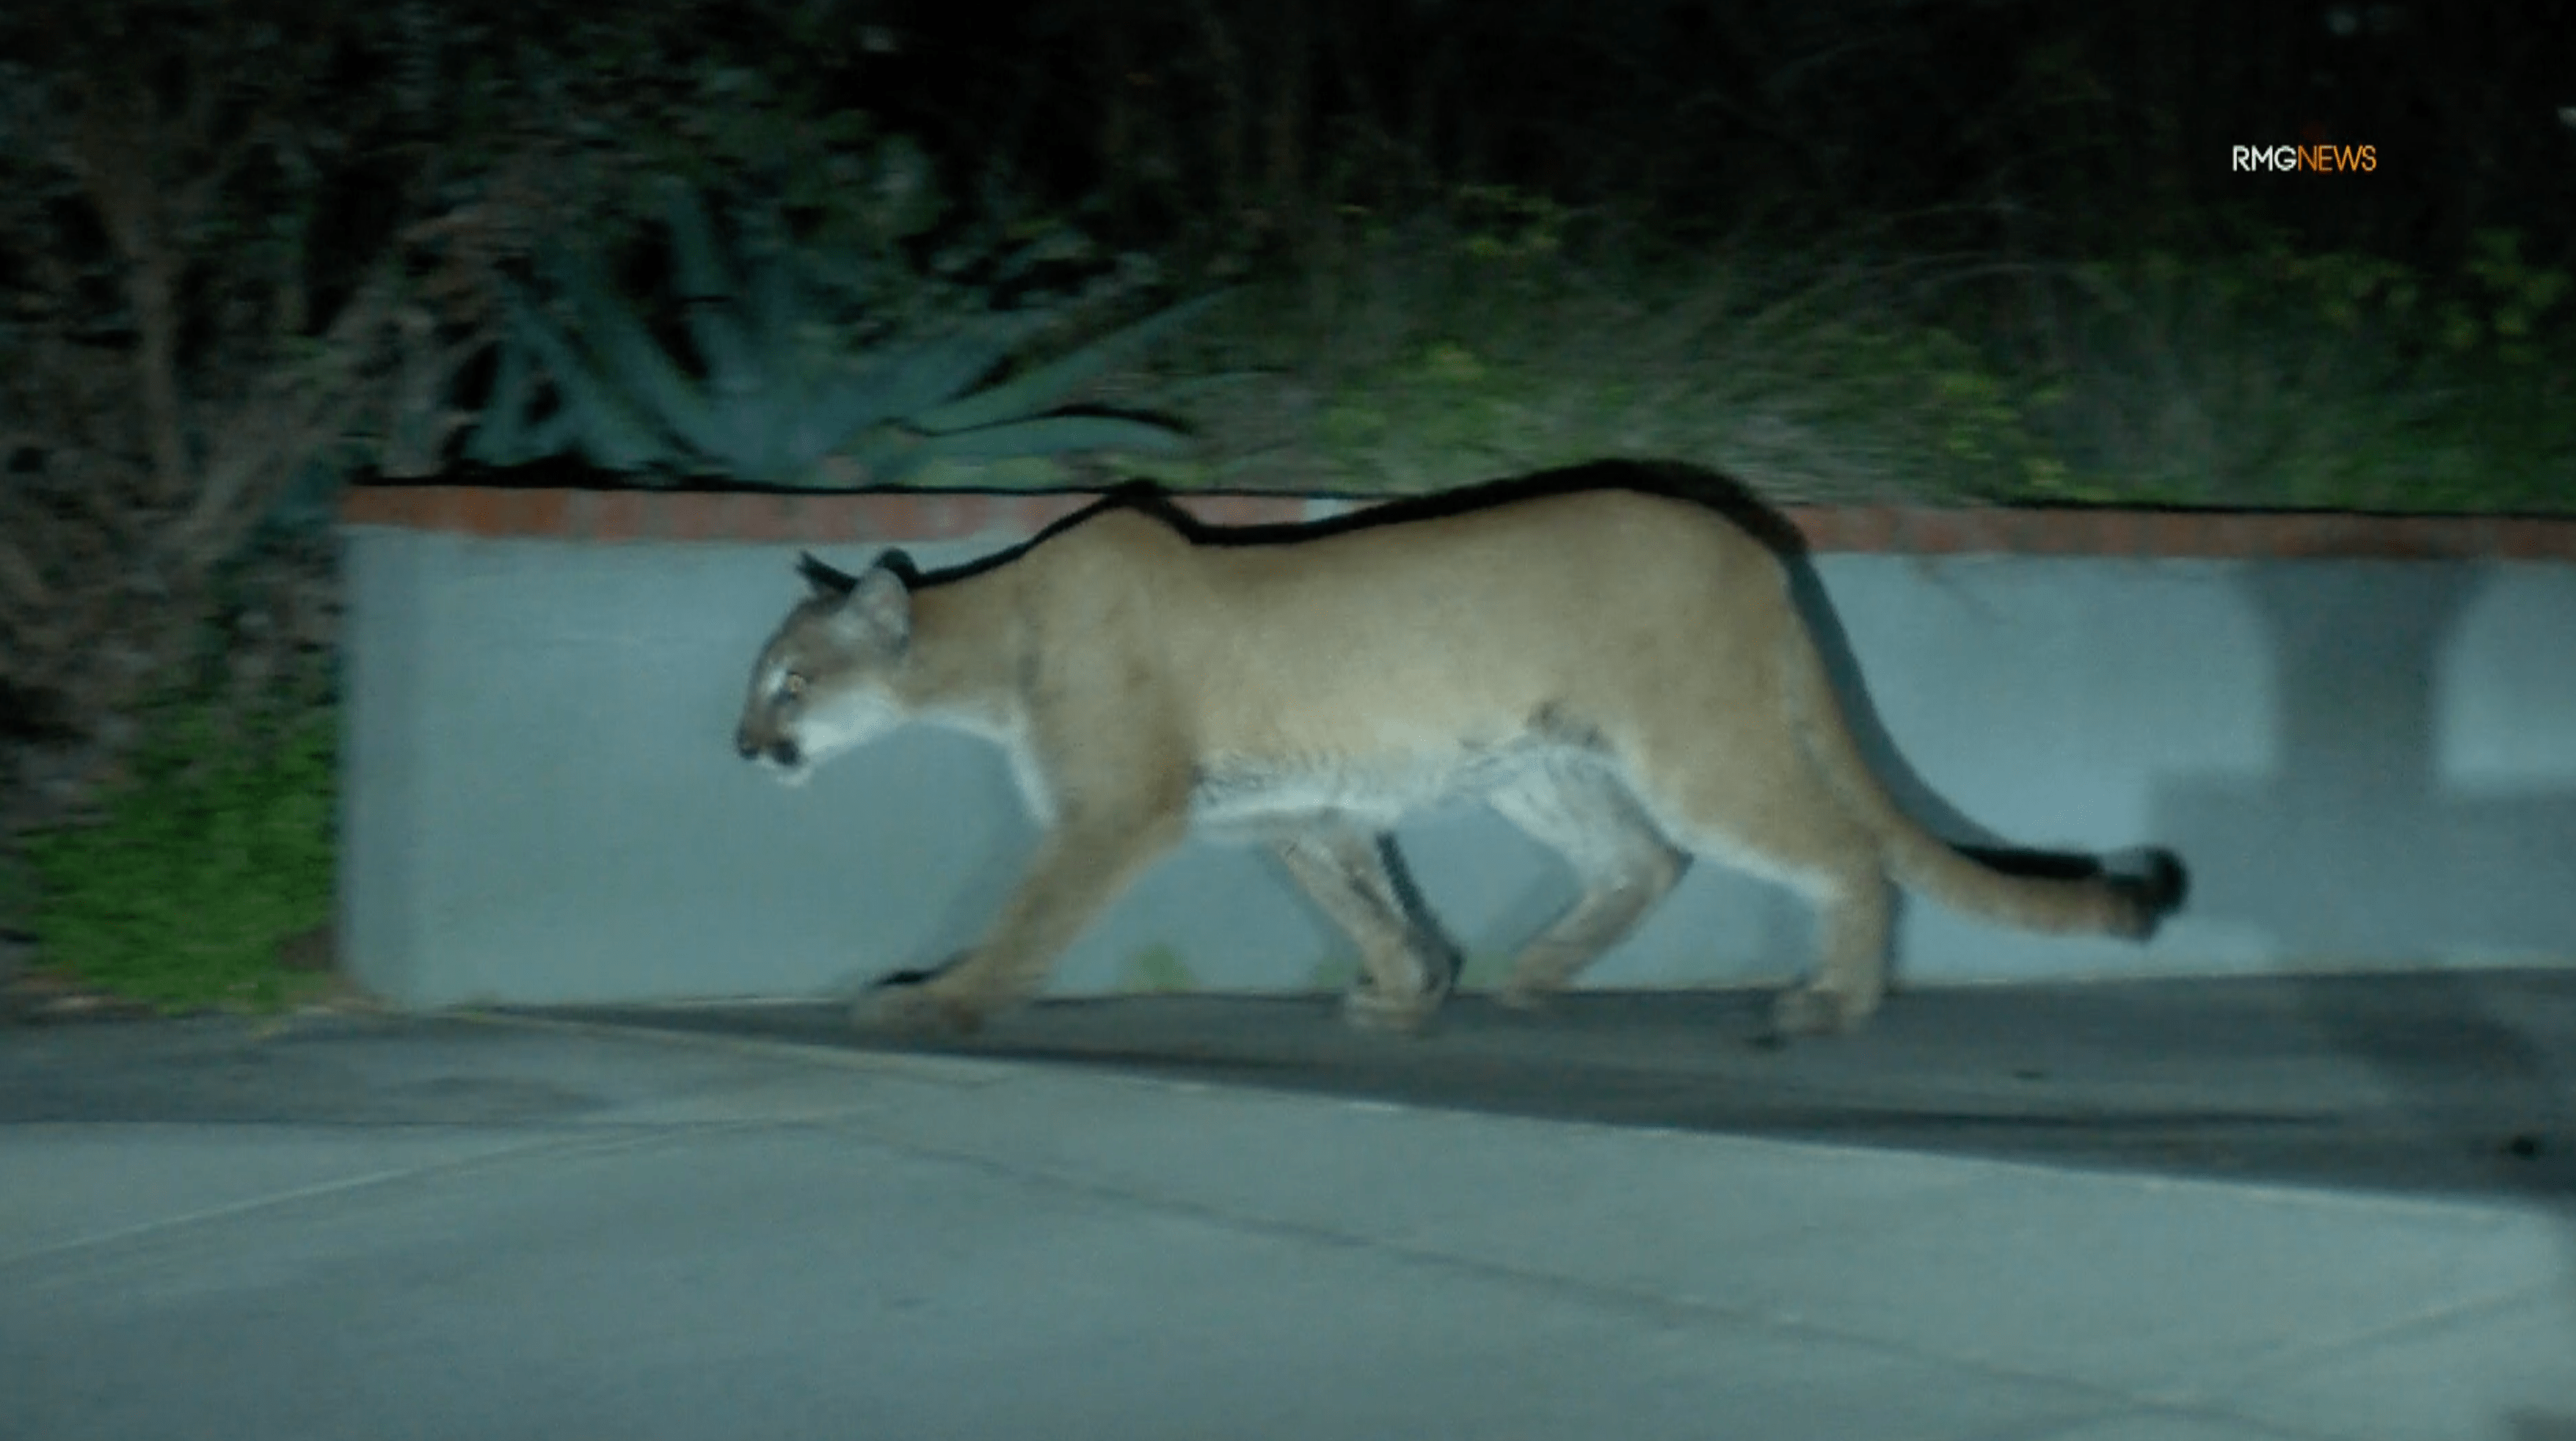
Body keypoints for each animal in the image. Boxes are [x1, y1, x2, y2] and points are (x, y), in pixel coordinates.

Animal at [736, 478, 2184, 1039]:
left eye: (790, 680)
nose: (745, 744)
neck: (990, 643)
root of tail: (1759, 547)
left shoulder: (1113, 812)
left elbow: (1027, 917)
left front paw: (933, 1002)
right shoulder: (1298, 807)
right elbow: (1367, 903)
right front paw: (1408, 990)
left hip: (1693, 744)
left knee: (1837, 854)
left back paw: (1833, 1002)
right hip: (1544, 764)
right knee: (1644, 861)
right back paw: (1533, 974)